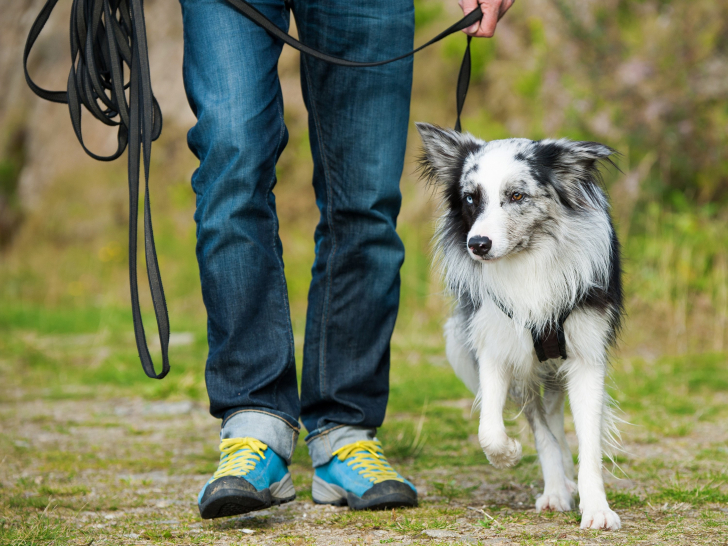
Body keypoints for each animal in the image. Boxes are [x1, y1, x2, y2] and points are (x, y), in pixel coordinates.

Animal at [418, 122, 624, 528]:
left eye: (516, 195)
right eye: (470, 198)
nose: (477, 244)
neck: (529, 261)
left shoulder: (586, 358)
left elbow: (589, 441)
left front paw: (596, 508)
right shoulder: (498, 349)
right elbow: (494, 430)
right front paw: (514, 457)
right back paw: (558, 484)